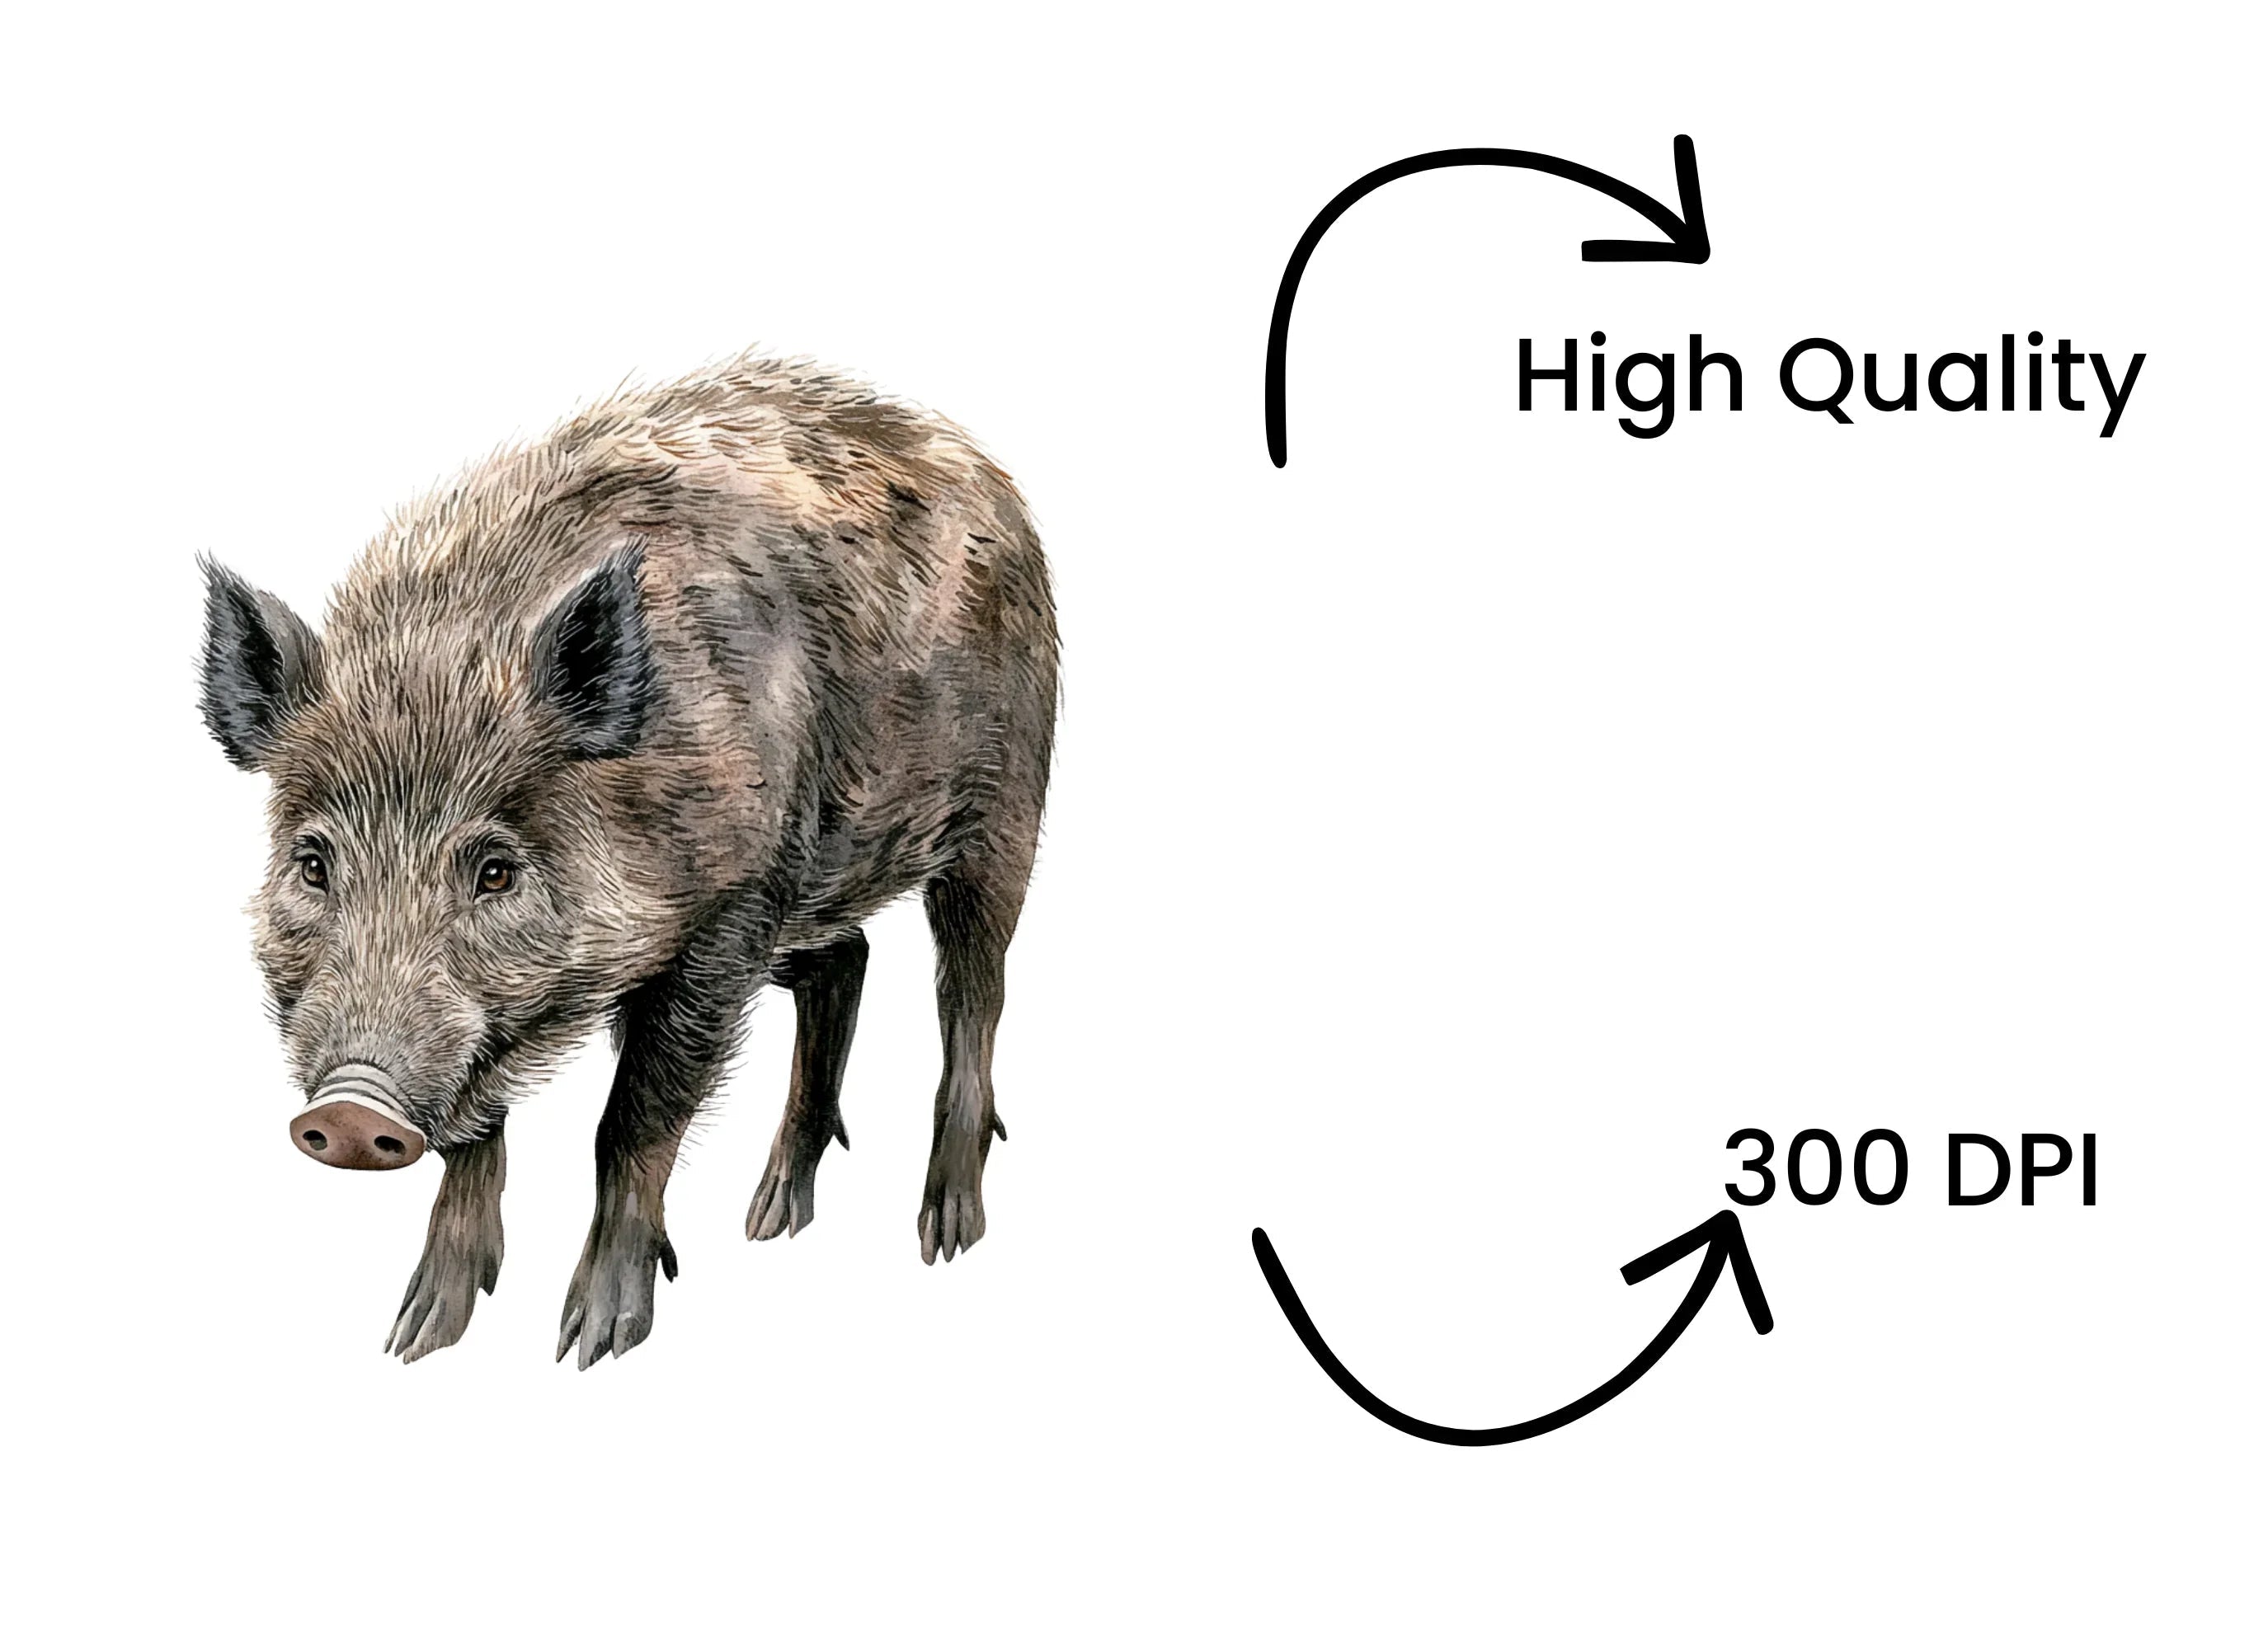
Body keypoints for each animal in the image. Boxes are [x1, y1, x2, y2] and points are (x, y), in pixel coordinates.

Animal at [197, 355, 1058, 1367]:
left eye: (495, 869)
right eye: (314, 862)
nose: (351, 1109)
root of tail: (982, 470)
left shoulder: (725, 920)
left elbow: (632, 1121)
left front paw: (592, 1342)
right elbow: (477, 1137)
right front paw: (418, 1336)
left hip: (1004, 811)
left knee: (971, 990)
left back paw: (943, 1234)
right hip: (814, 886)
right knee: (846, 960)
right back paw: (770, 1221)